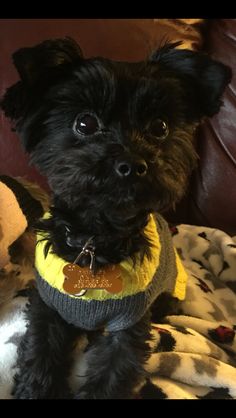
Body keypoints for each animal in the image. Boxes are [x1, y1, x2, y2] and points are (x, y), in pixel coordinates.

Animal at [0, 36, 232, 398]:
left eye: (159, 127)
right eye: (85, 123)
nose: (132, 164)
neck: (96, 242)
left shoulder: (129, 326)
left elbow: (112, 371)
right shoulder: (49, 306)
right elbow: (41, 349)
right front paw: (36, 389)